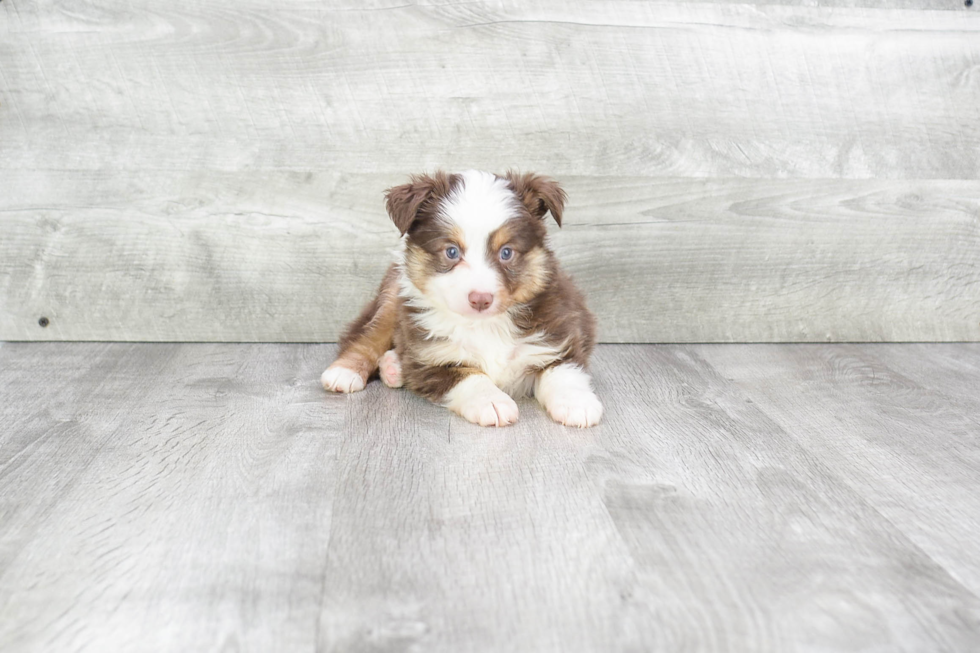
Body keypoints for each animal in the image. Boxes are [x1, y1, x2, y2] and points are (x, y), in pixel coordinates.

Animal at [322, 169, 600, 428]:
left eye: (506, 252)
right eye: (452, 252)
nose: (481, 299)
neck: (486, 325)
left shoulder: (558, 336)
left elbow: (564, 371)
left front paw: (577, 404)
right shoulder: (430, 359)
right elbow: (470, 376)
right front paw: (492, 402)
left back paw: (393, 367)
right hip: (392, 296)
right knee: (368, 335)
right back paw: (345, 372)